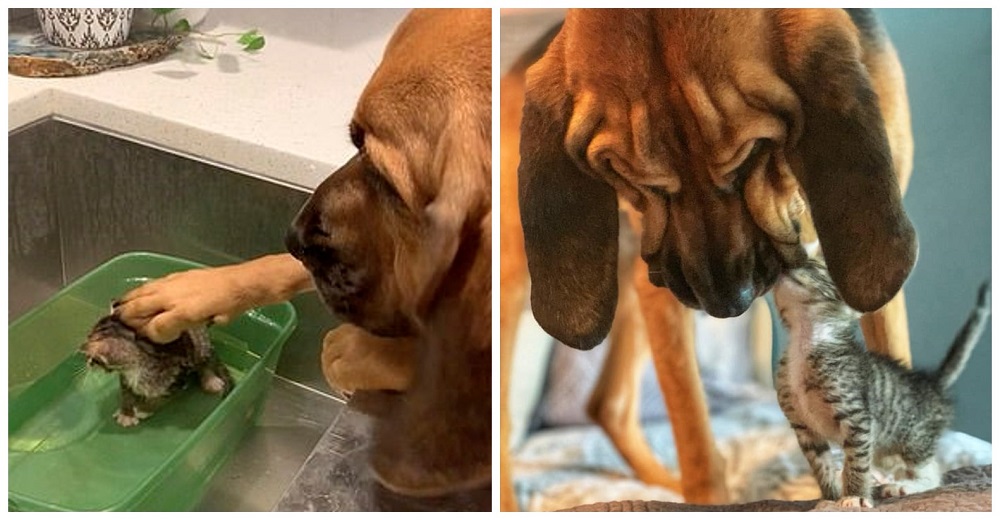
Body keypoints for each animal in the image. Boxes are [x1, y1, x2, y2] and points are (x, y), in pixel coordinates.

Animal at [500, 8, 916, 510]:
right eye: (638, 179)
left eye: (754, 152)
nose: (726, 304)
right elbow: (694, 429)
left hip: (633, 280)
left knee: (608, 405)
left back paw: (660, 482)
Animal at [772, 260, 984, 508]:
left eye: (817, 268)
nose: (785, 267)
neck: (804, 344)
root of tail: (931, 382)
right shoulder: (803, 428)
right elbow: (822, 466)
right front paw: (830, 497)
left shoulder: (858, 419)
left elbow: (856, 463)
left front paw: (855, 496)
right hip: (885, 446)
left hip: (913, 440)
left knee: (933, 472)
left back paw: (903, 486)